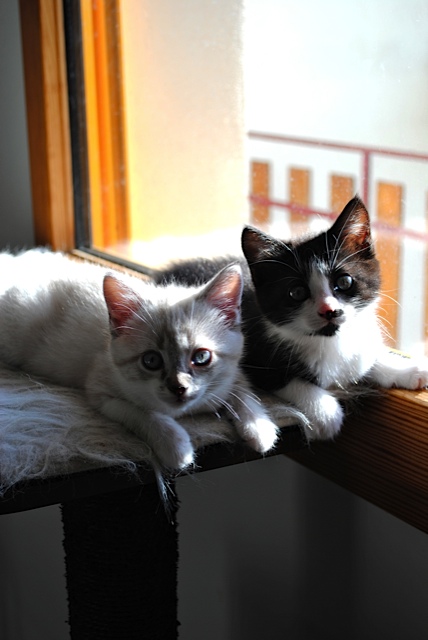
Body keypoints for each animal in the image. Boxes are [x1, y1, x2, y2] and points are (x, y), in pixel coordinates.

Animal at [155, 198, 428, 440]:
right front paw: (326, 413)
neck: (329, 340)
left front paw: (408, 369)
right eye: (296, 292)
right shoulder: (255, 354)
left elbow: (366, 357)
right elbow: (289, 380)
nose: (329, 310)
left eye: (344, 281)